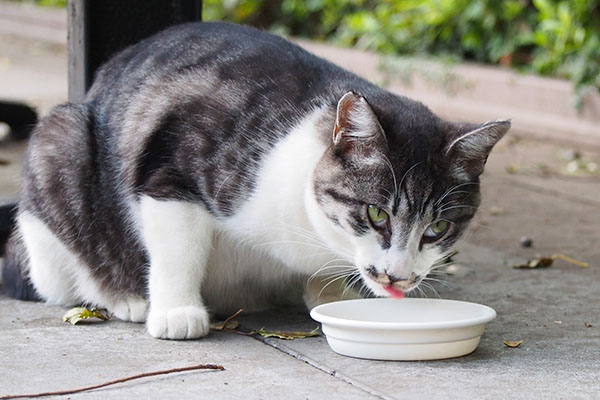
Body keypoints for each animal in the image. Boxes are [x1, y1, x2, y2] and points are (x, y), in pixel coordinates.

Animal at [1, 21, 510, 340]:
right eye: (376, 214)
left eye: (438, 228)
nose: (399, 277)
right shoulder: (171, 168)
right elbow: (177, 249)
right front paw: (177, 311)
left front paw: (333, 293)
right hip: (59, 145)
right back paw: (123, 296)